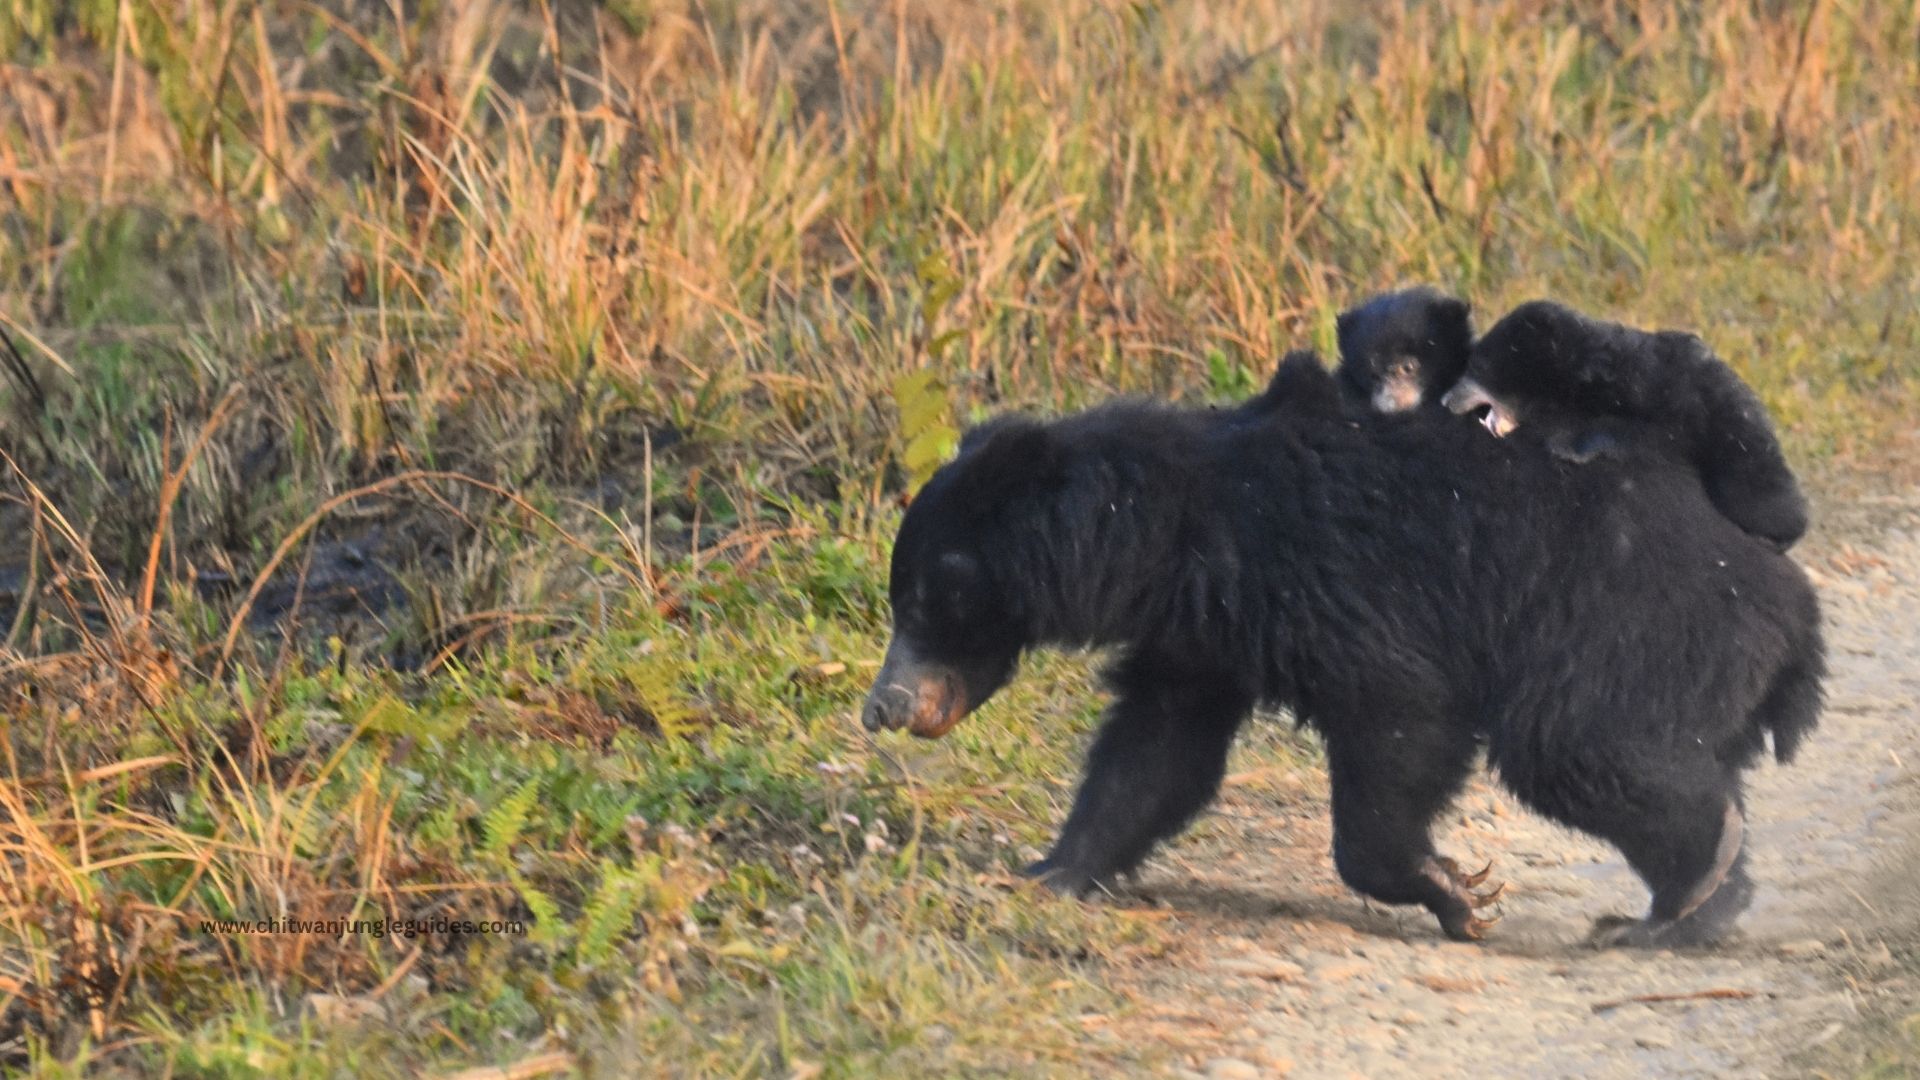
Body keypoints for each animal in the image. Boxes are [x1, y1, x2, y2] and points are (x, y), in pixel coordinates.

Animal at [861, 391, 1824, 948]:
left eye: (925, 601)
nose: (884, 706)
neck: (1170, 538)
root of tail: (1790, 597)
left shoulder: (1332, 584)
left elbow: (1401, 714)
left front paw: (1454, 891)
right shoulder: (1204, 634)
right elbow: (1156, 751)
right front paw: (1049, 872)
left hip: (1628, 623)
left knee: (1575, 744)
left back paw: (1680, 891)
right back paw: (1698, 905)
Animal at [1440, 299, 1809, 550]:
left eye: (1475, 367)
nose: (1446, 399)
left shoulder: (1658, 398)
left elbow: (1645, 435)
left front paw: (1570, 445)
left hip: (1740, 453)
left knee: (1757, 497)